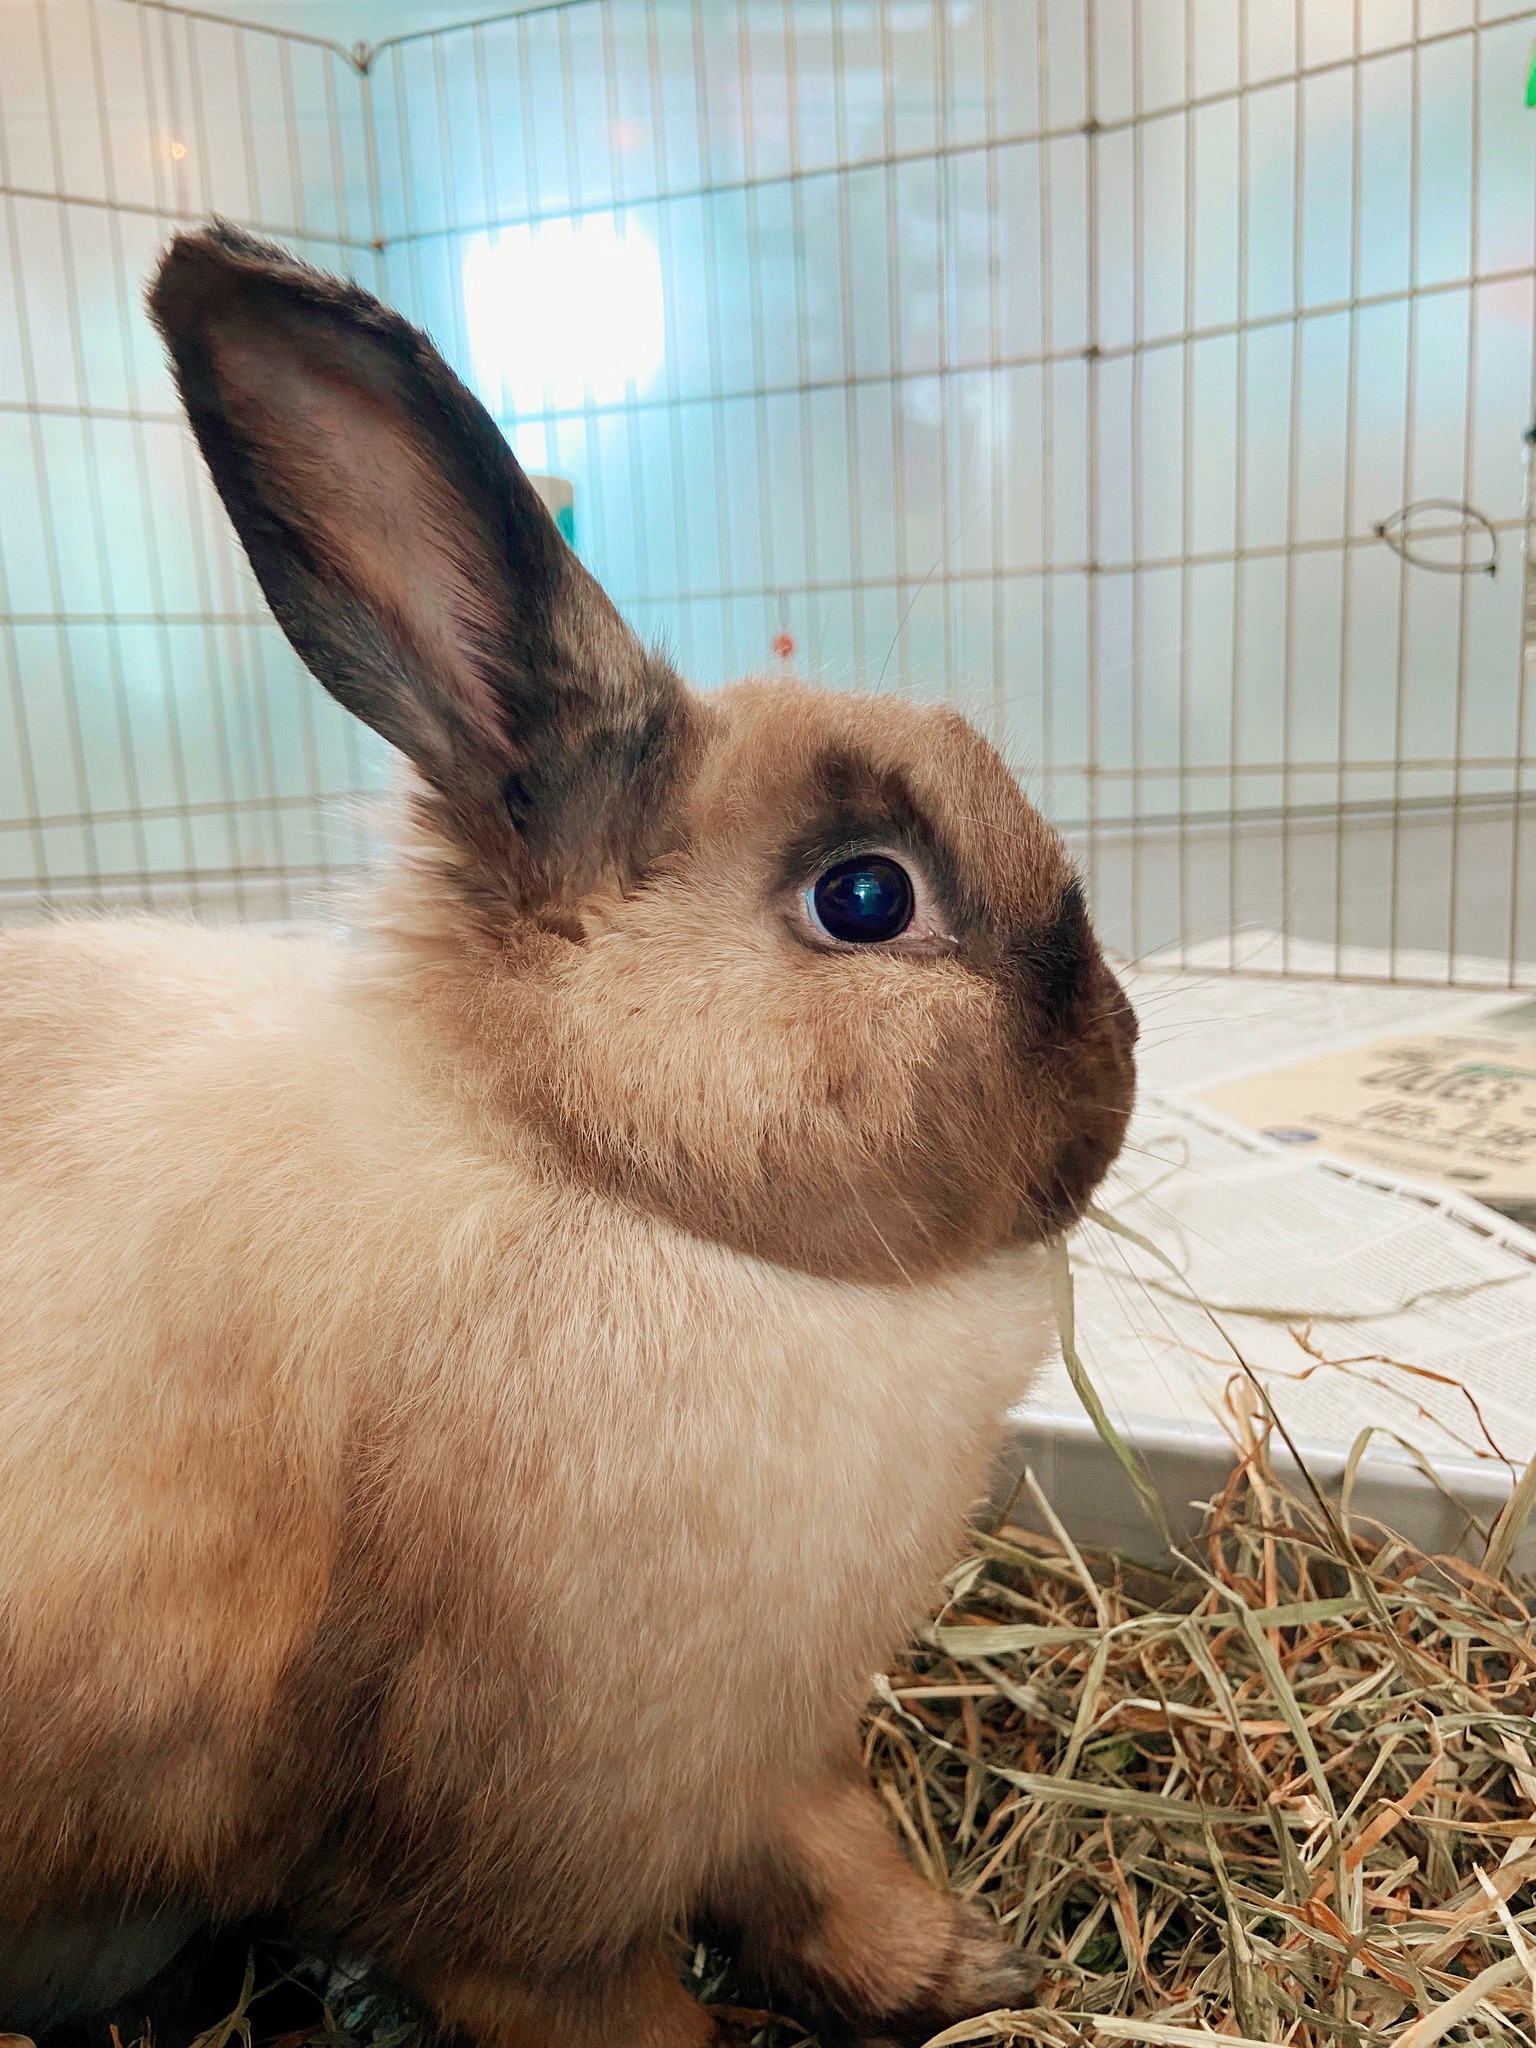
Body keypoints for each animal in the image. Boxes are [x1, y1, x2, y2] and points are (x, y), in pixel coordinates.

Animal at [0, 222, 1136, 2048]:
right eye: (867, 896)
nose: (1118, 1083)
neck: (580, 1160)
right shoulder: (516, 1877)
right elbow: (616, 2002)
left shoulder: (760, 1759)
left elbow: (826, 1865)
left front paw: (959, 1970)